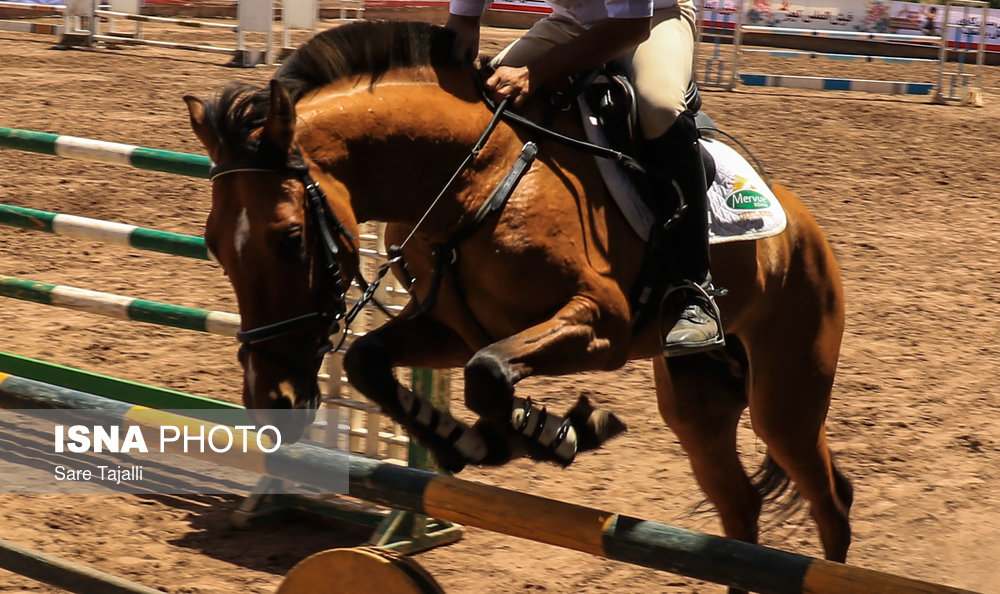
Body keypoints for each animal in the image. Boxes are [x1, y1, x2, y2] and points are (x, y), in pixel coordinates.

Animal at [186, 19, 852, 564]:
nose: (268, 398)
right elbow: (372, 362)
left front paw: (557, 432)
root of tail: (806, 229)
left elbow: (488, 374)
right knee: (740, 507)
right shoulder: (454, 329)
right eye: (213, 244)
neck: (468, 175)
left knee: (829, 503)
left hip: (784, 399)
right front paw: (476, 440)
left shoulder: (601, 323)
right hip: (697, 402)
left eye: (291, 237)